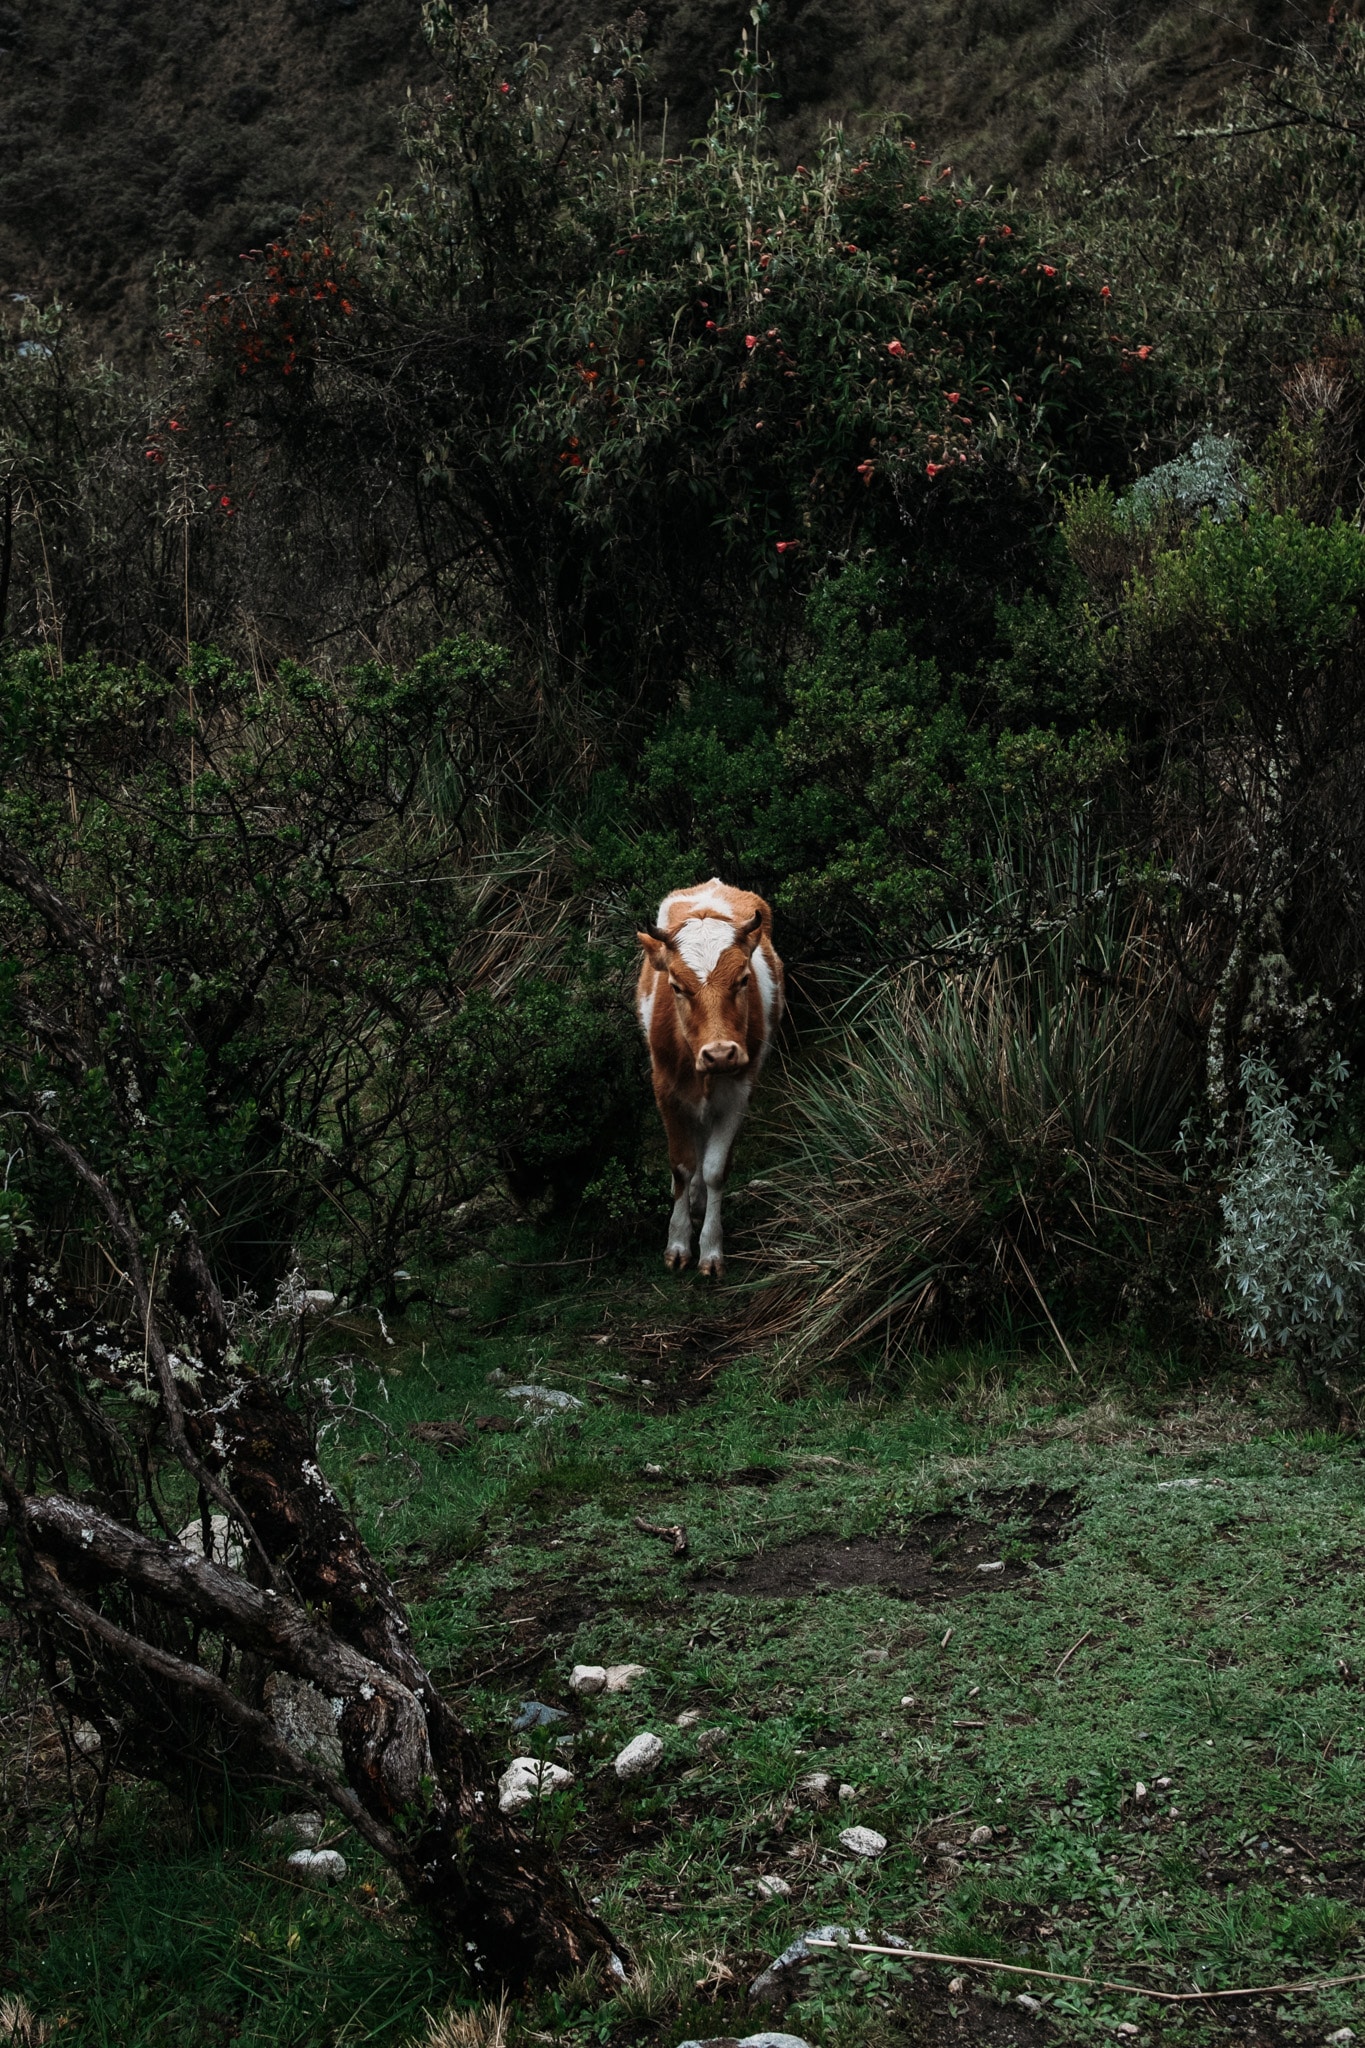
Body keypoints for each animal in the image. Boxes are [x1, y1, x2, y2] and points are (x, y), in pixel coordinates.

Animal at [636, 878, 785, 1277]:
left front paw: (711, 1249)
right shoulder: (665, 1090)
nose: (719, 1054)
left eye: (743, 979)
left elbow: (716, 1168)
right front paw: (677, 1243)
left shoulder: (738, 1091)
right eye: (676, 986)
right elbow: (681, 1165)